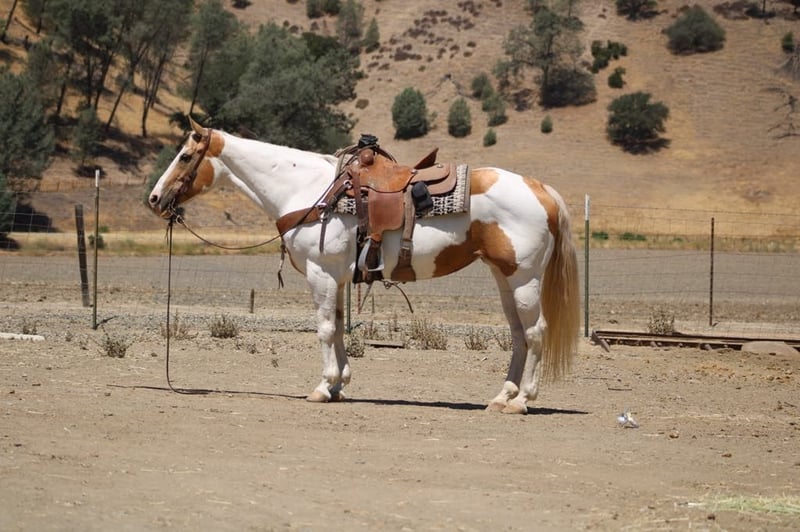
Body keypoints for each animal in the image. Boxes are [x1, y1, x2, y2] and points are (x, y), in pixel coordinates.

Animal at [148, 118, 580, 414]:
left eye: (184, 156)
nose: (154, 199)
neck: (309, 190)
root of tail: (541, 189)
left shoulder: (321, 274)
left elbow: (324, 329)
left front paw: (323, 387)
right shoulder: (337, 278)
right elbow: (338, 327)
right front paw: (339, 385)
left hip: (524, 279)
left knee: (535, 333)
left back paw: (522, 401)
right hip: (505, 278)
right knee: (518, 334)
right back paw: (502, 396)